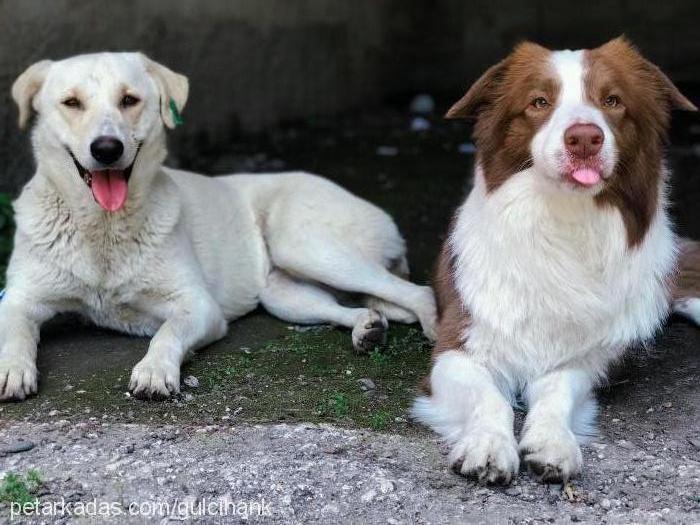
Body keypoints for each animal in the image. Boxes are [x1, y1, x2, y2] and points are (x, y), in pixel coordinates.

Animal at [0, 52, 434, 398]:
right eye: (72, 103)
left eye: (129, 100)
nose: (107, 149)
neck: (103, 229)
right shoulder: (18, 299)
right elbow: (15, 333)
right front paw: (11, 369)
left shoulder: (197, 305)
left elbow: (167, 333)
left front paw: (155, 370)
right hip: (283, 294)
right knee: (361, 306)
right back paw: (367, 327)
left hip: (305, 246)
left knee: (420, 293)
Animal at [412, 37, 696, 484]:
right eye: (539, 102)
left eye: (612, 100)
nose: (584, 138)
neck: (564, 218)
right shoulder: (459, 345)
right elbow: (489, 397)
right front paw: (488, 445)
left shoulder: (589, 358)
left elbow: (558, 390)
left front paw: (552, 443)